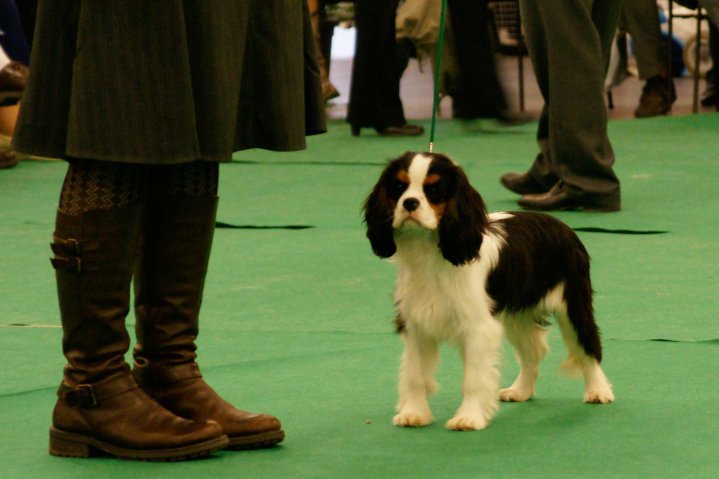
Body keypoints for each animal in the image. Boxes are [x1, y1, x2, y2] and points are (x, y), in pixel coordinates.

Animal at [366, 153, 612, 432]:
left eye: (434, 190)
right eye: (398, 187)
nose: (409, 202)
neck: (429, 251)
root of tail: (563, 226)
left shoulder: (477, 328)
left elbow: (473, 379)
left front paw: (468, 418)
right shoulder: (417, 324)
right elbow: (415, 376)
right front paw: (415, 414)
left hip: (573, 306)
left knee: (589, 346)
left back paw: (598, 391)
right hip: (517, 316)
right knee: (533, 352)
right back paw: (520, 390)